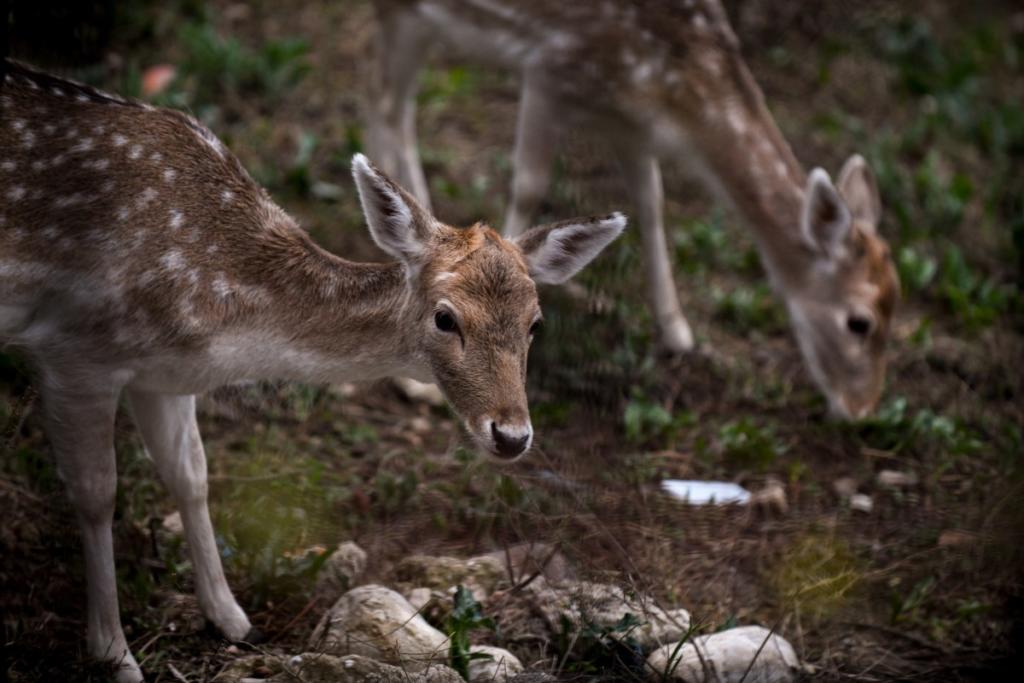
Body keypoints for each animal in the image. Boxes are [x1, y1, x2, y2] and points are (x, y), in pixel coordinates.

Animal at [0, 61, 622, 679]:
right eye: (446, 318)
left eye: (535, 323)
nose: (512, 435)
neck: (220, 314)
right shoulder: (76, 350)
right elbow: (96, 493)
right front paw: (114, 654)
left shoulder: (163, 375)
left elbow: (191, 474)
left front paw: (232, 619)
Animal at [366, 0, 897, 417]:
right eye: (859, 322)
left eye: (897, 309)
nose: (862, 409)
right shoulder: (551, 64)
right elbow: (529, 187)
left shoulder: (630, 121)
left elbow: (652, 200)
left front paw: (678, 331)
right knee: (390, 106)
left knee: (384, 104)